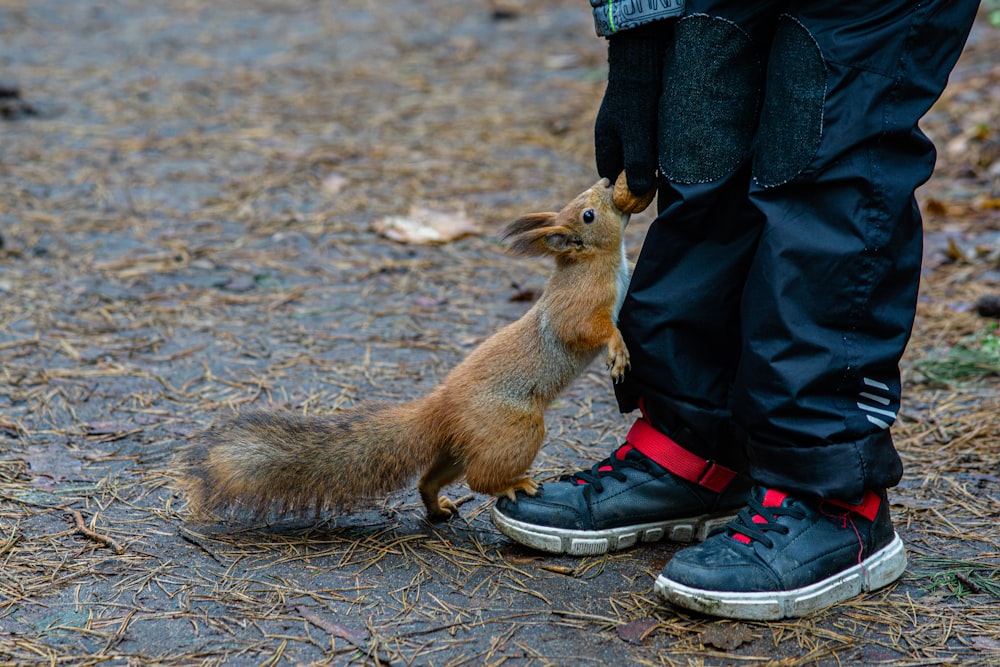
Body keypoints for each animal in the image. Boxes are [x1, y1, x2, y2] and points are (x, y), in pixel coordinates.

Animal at [181, 180, 632, 524]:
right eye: (588, 214)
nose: (609, 181)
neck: (596, 261)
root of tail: (442, 405)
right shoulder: (577, 305)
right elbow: (585, 328)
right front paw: (618, 348)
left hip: (460, 443)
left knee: (432, 477)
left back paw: (438, 507)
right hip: (514, 429)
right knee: (480, 478)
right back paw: (512, 484)